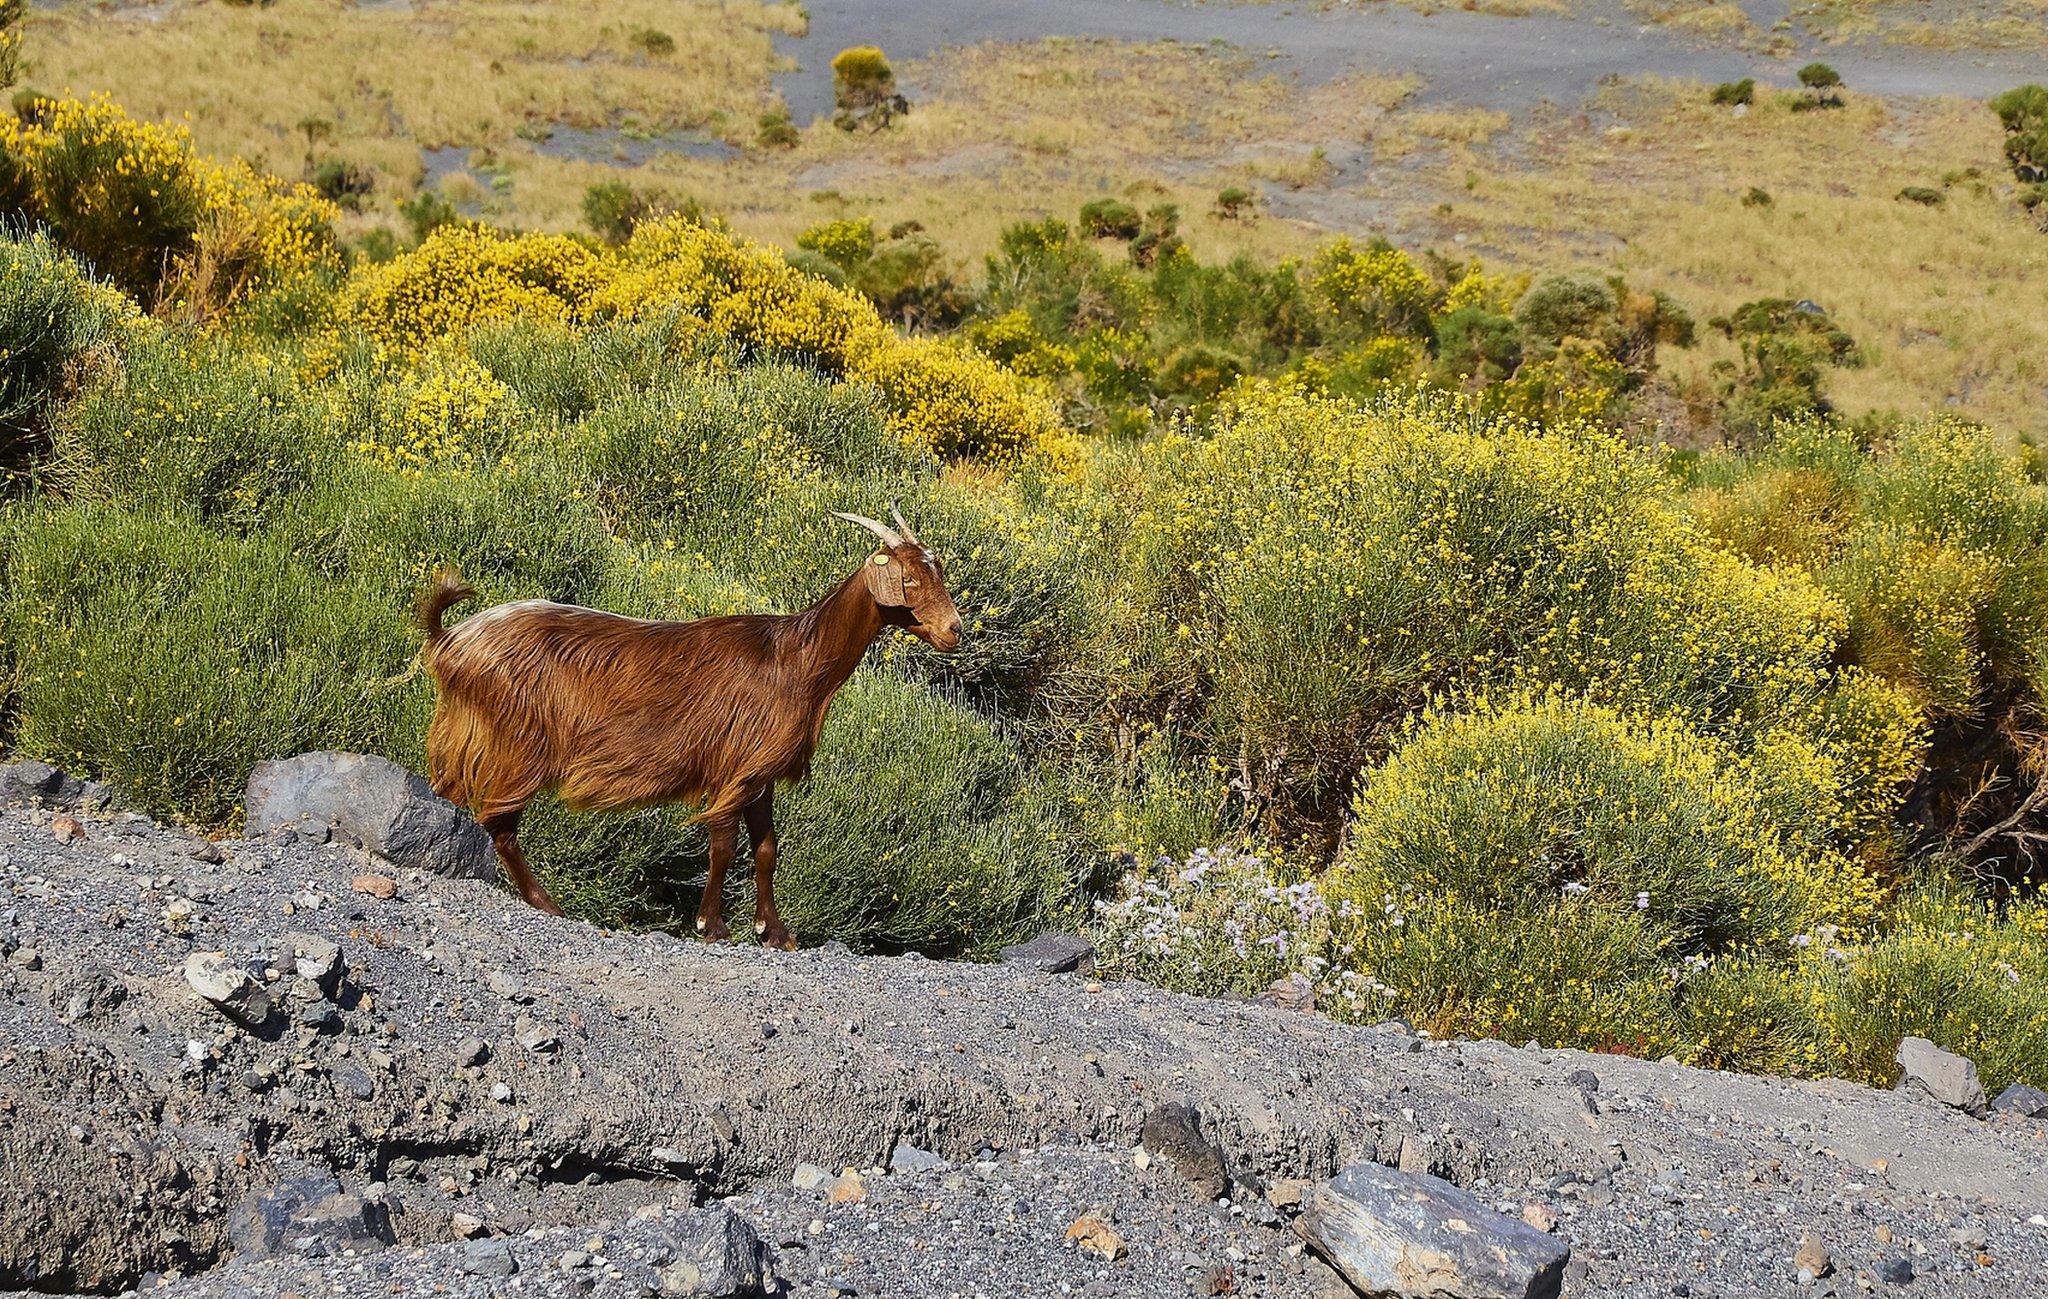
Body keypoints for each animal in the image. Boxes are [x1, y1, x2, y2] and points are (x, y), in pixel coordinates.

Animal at [419, 504, 962, 942]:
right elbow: (722, 845)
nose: (954, 630)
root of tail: (452, 640)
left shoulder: (759, 772)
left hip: (469, 734)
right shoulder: (735, 765)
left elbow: (766, 848)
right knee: (499, 822)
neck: (797, 659)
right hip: (517, 740)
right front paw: (712, 925)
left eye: (938, 573)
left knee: (451, 798)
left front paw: (775, 932)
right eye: (910, 580)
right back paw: (546, 904)